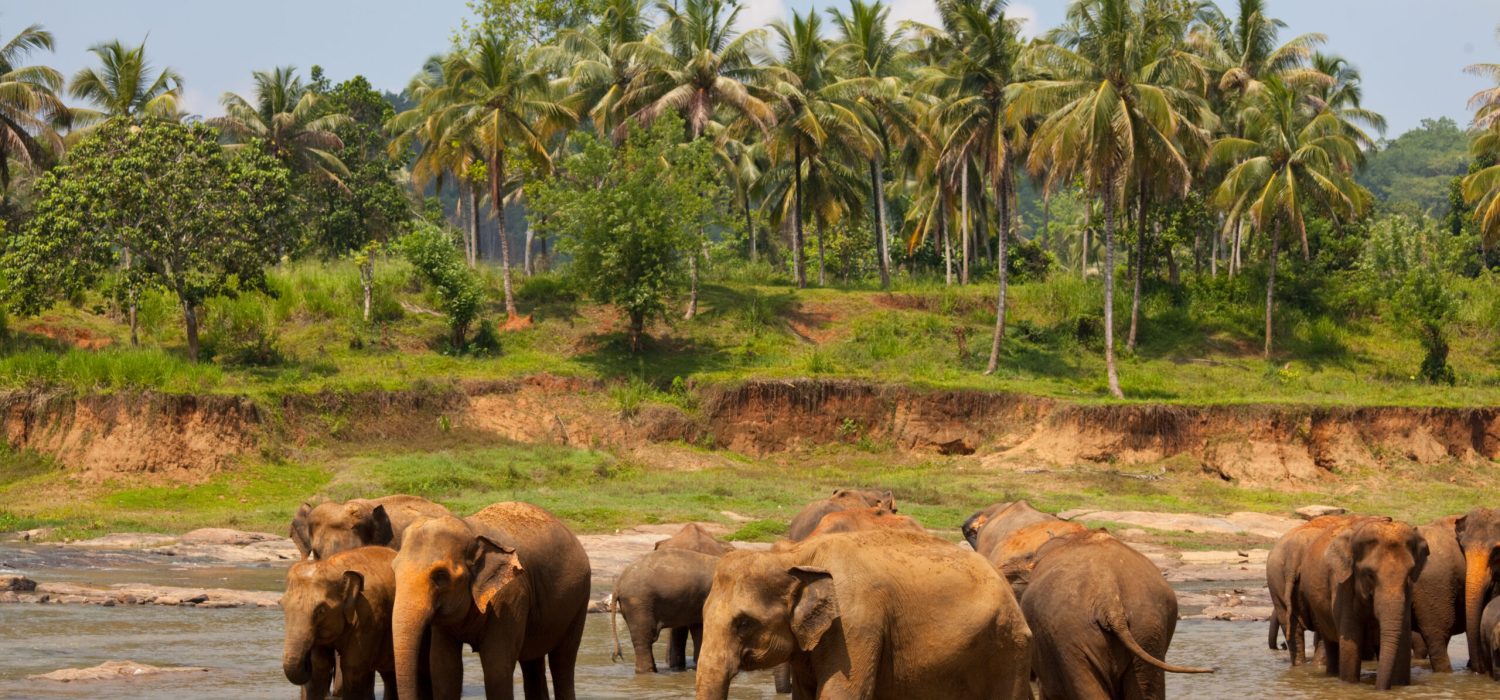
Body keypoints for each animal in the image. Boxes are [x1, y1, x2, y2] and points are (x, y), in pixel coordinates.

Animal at [281, 546, 402, 700]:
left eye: (320, 611)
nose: (306, 660)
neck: (338, 568)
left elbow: (353, 669)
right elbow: (319, 668)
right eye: (282, 605)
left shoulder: (368, 616)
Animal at [391, 501, 591, 700]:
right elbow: (444, 670)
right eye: (394, 570)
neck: (469, 528)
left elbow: (497, 668)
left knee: (563, 662)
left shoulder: (509, 598)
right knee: (533, 663)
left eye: (440, 576)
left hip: (580, 601)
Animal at [1292, 516, 1428, 690]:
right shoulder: (1342, 584)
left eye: (1410, 573)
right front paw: (1350, 686)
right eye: (1369, 574)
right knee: (1331, 645)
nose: (1378, 689)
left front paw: (1398, 686)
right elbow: (1350, 642)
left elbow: (1403, 639)